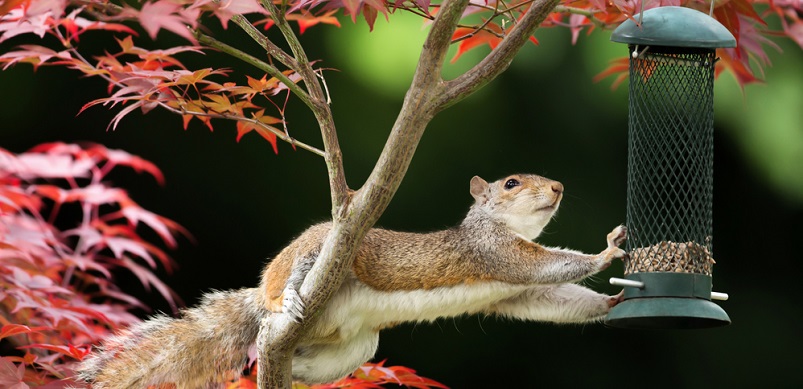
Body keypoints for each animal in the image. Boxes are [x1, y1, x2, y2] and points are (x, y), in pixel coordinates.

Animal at [77, 174, 628, 386]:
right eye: (512, 183)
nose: (558, 188)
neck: (499, 226)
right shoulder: (496, 255)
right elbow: (552, 265)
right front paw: (607, 251)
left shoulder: (518, 290)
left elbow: (550, 298)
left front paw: (612, 305)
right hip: (318, 253)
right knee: (288, 284)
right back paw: (286, 300)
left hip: (355, 347)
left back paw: (275, 367)